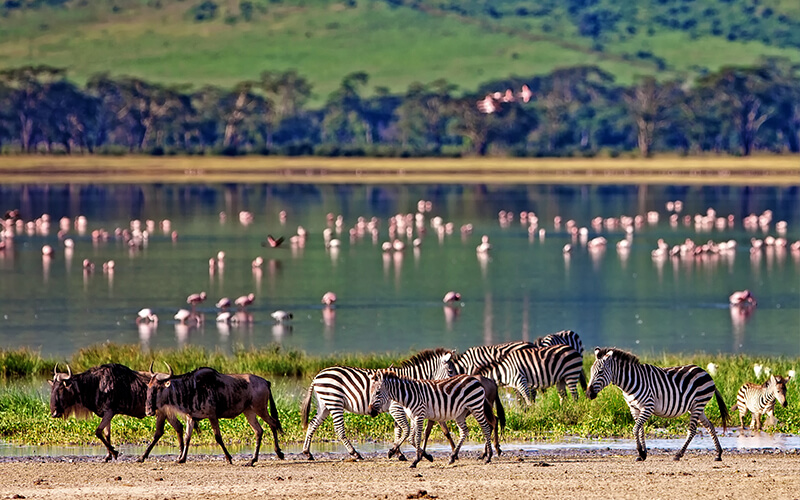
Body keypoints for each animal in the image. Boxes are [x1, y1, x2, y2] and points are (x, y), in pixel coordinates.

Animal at [298, 348, 456, 460]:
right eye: (450, 371)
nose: (453, 387)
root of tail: (318, 375)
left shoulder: (398, 409)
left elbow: (398, 431)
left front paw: (398, 453)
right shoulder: (396, 407)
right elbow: (406, 430)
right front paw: (414, 453)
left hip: (324, 404)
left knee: (312, 424)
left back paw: (307, 453)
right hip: (335, 402)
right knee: (339, 430)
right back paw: (355, 453)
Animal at [584, 348, 728, 460]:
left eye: (600, 372)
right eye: (590, 371)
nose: (588, 394)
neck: (629, 383)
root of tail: (705, 372)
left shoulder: (648, 406)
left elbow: (635, 429)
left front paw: (640, 452)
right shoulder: (634, 408)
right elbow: (640, 430)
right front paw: (642, 454)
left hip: (698, 404)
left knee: (692, 430)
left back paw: (678, 454)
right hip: (696, 407)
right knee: (710, 426)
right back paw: (718, 454)